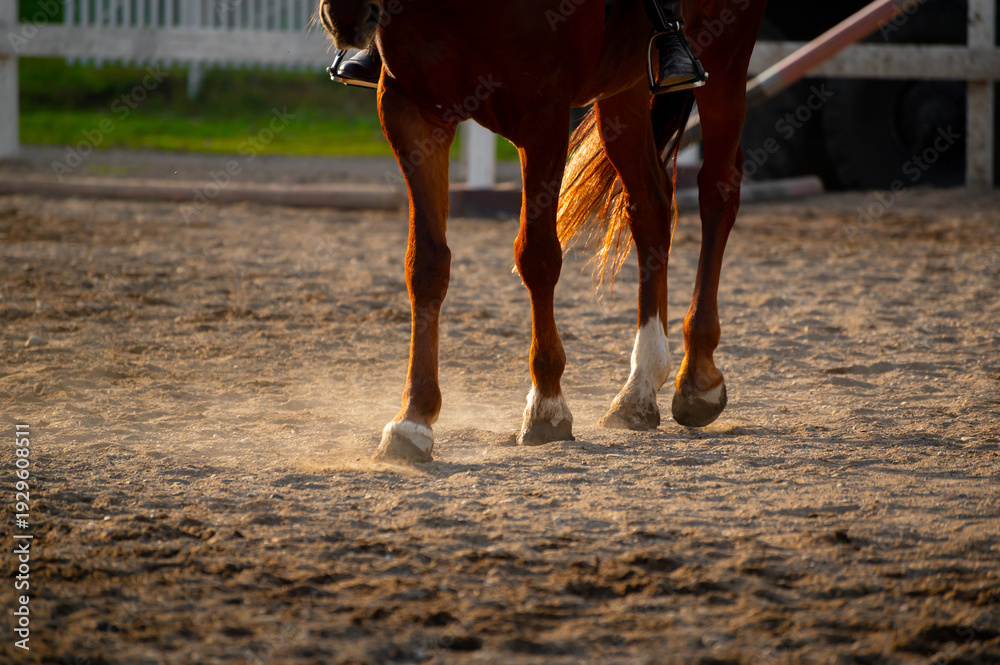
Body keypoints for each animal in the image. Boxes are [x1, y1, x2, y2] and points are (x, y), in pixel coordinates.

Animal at [316, 0, 767, 463]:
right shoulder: (409, 110)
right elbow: (425, 264)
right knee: (651, 208)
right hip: (625, 90)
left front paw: (547, 406)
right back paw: (639, 387)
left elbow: (537, 256)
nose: (343, 17)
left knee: (718, 192)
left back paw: (698, 375)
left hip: (726, 55)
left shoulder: (543, 114)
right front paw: (413, 420)